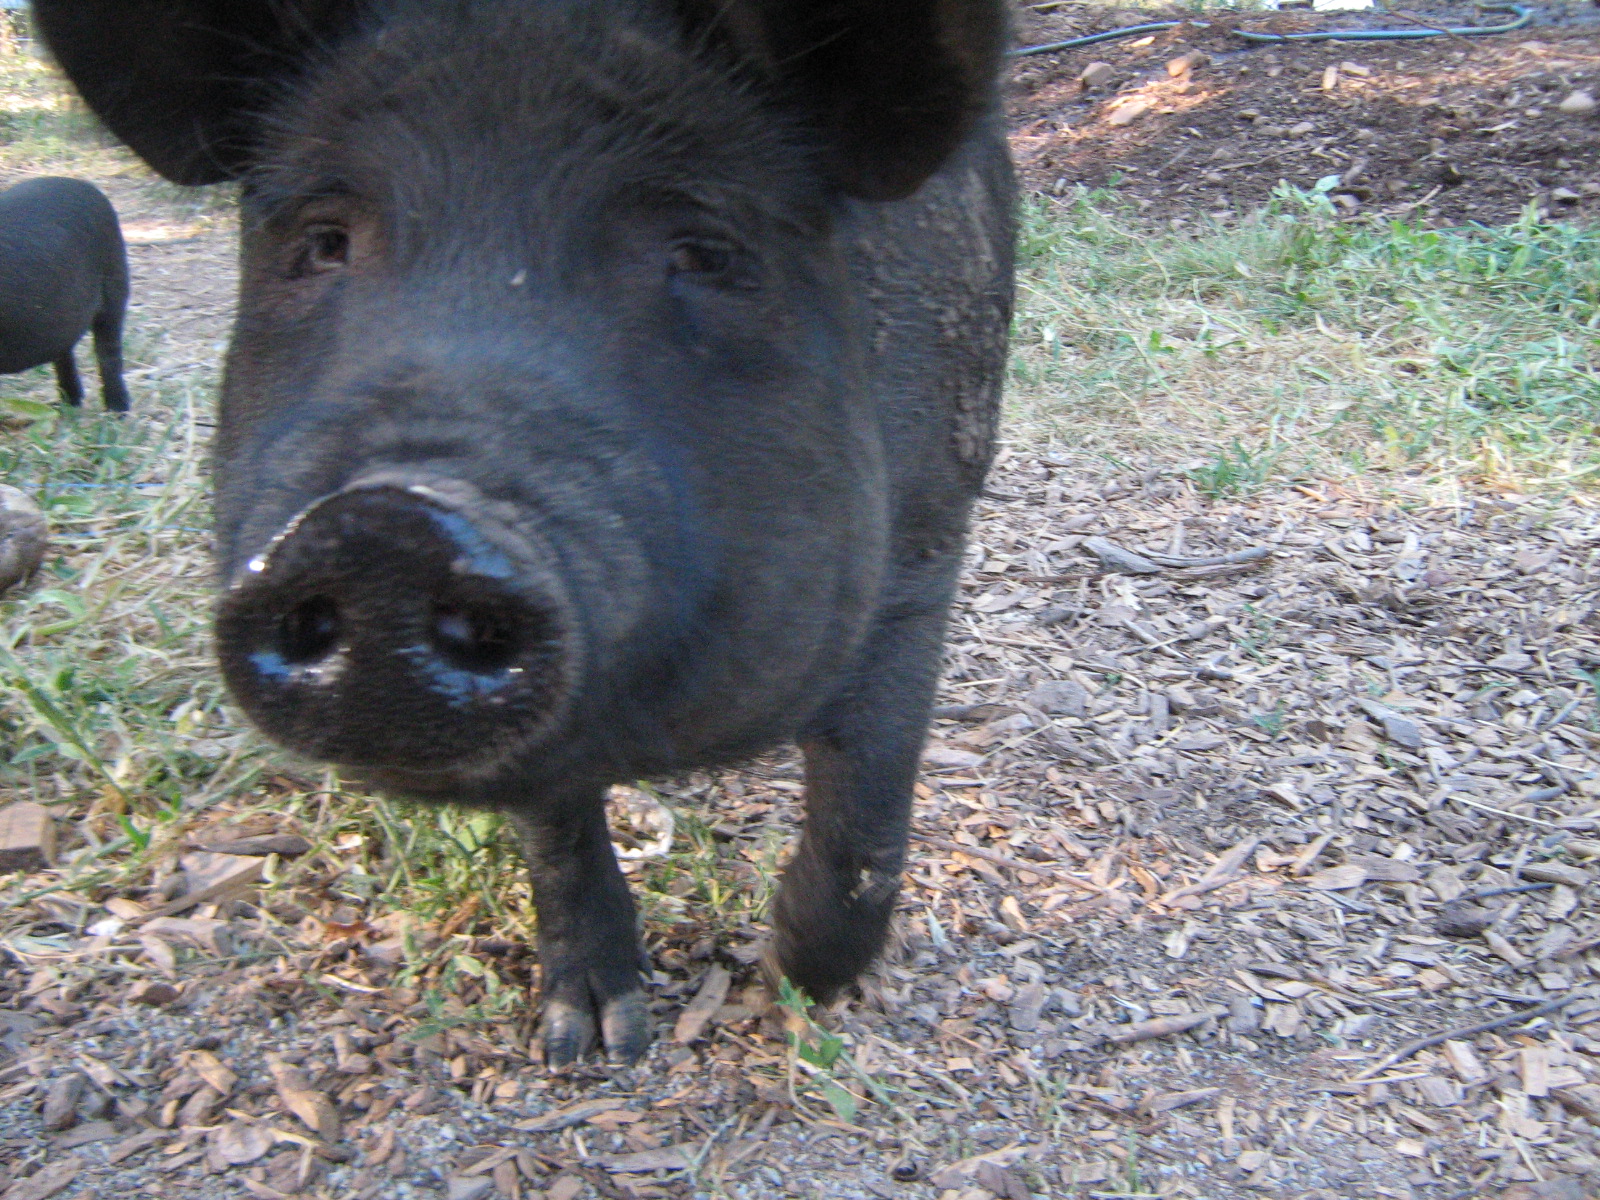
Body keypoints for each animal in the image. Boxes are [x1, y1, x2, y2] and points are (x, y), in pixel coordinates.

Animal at [0, 176, 131, 411]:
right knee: (64, 350)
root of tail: (85, 185)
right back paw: (67, 403)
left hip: (115, 282)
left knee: (108, 349)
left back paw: (118, 409)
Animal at [37, 0, 1016, 1065]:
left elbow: (868, 810)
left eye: (702, 249)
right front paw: (595, 1039)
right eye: (326, 241)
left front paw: (791, 981)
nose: (385, 525)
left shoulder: (926, 546)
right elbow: (553, 819)